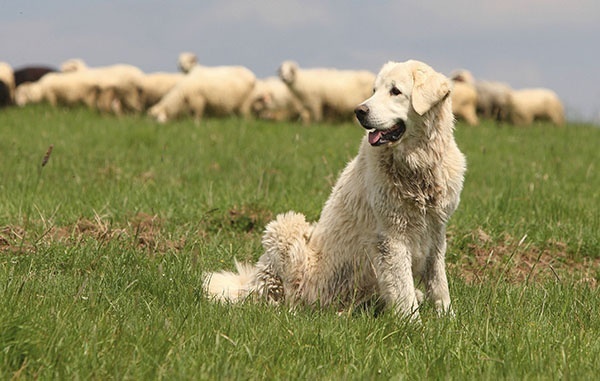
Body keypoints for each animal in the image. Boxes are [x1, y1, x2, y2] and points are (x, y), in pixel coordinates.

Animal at [204, 59, 466, 320]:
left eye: (395, 91)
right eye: (374, 90)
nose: (359, 111)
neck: (419, 165)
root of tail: (251, 282)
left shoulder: (435, 230)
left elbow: (439, 285)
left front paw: (448, 320)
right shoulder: (392, 237)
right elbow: (404, 291)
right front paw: (414, 325)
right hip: (289, 230)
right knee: (282, 296)